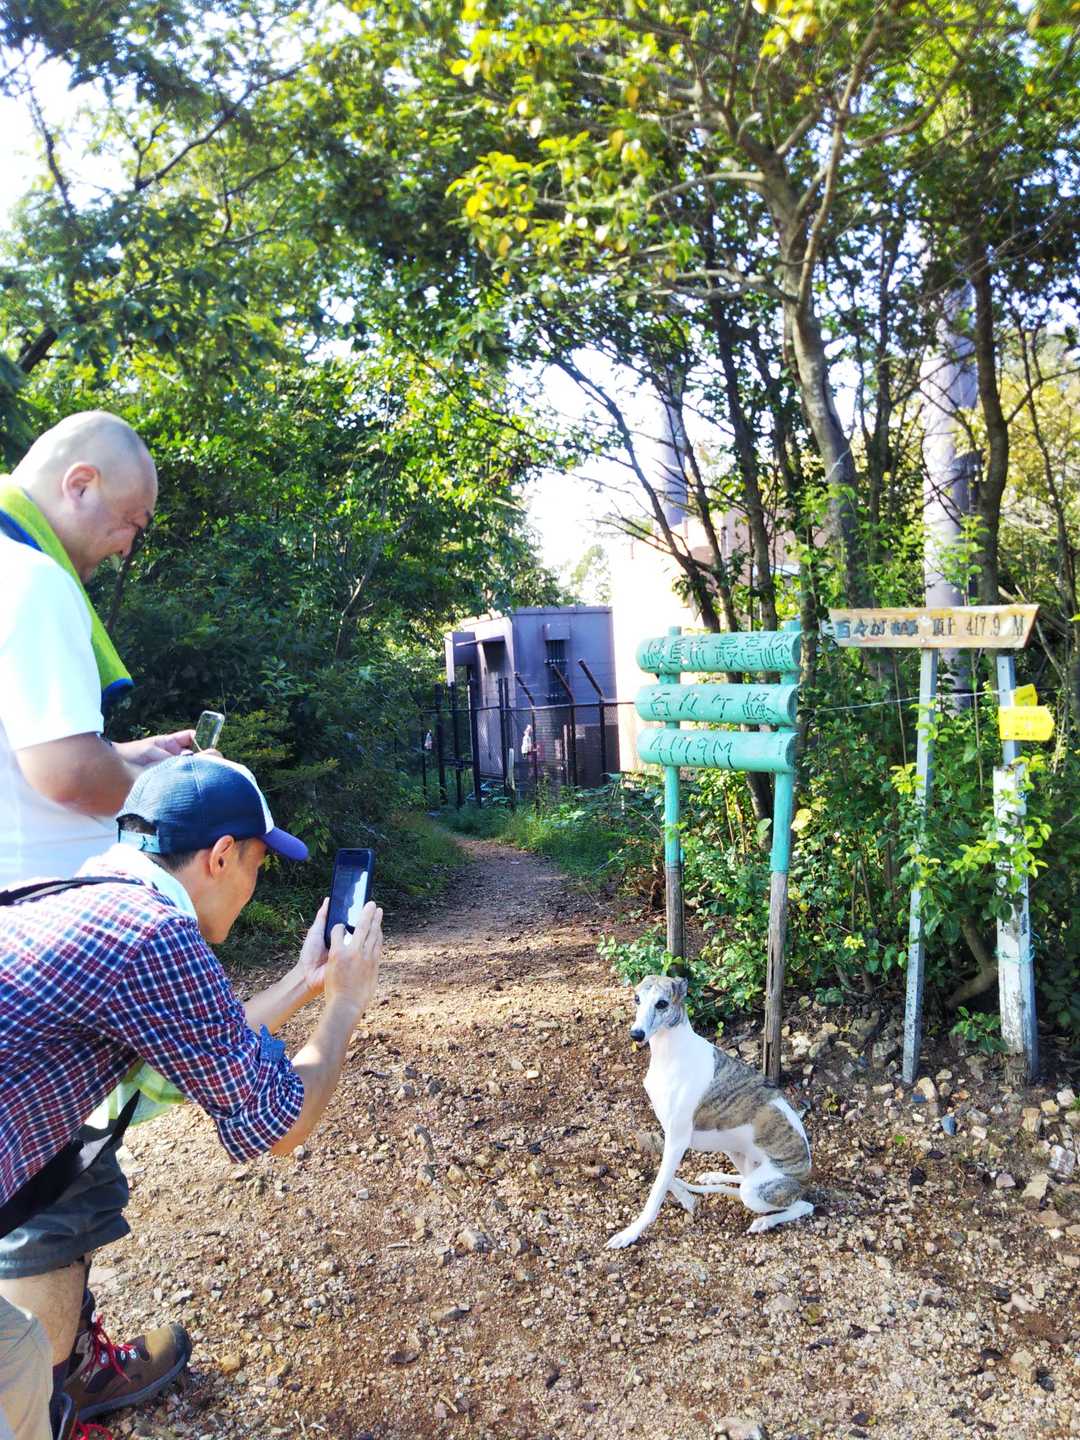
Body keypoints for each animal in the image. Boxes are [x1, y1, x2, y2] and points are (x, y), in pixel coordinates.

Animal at [607, 973, 813, 1247]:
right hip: (734, 1151)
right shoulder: (668, 1136)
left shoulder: (677, 1140)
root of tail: (806, 1172)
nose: (636, 1034)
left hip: (760, 1189)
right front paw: (684, 1194)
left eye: (662, 1003)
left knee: (802, 1205)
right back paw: (713, 1177)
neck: (671, 1054)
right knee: (743, 1179)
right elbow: (665, 1177)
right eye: (636, 999)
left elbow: (657, 1191)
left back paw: (765, 1222)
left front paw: (630, 1233)